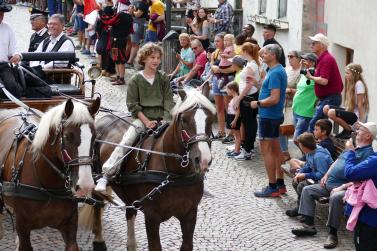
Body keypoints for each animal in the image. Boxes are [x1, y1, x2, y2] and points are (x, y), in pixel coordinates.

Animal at [0, 97, 100, 250]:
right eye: (68, 136)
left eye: (94, 137)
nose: (86, 185)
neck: (47, 186)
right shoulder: (22, 226)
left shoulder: (70, 225)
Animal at [85, 88, 216, 249]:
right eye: (184, 119)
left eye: (211, 119)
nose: (203, 159)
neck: (174, 175)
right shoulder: (152, 217)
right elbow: (155, 246)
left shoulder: (190, 215)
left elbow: (187, 245)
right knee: (97, 203)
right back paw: (99, 239)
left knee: (129, 212)